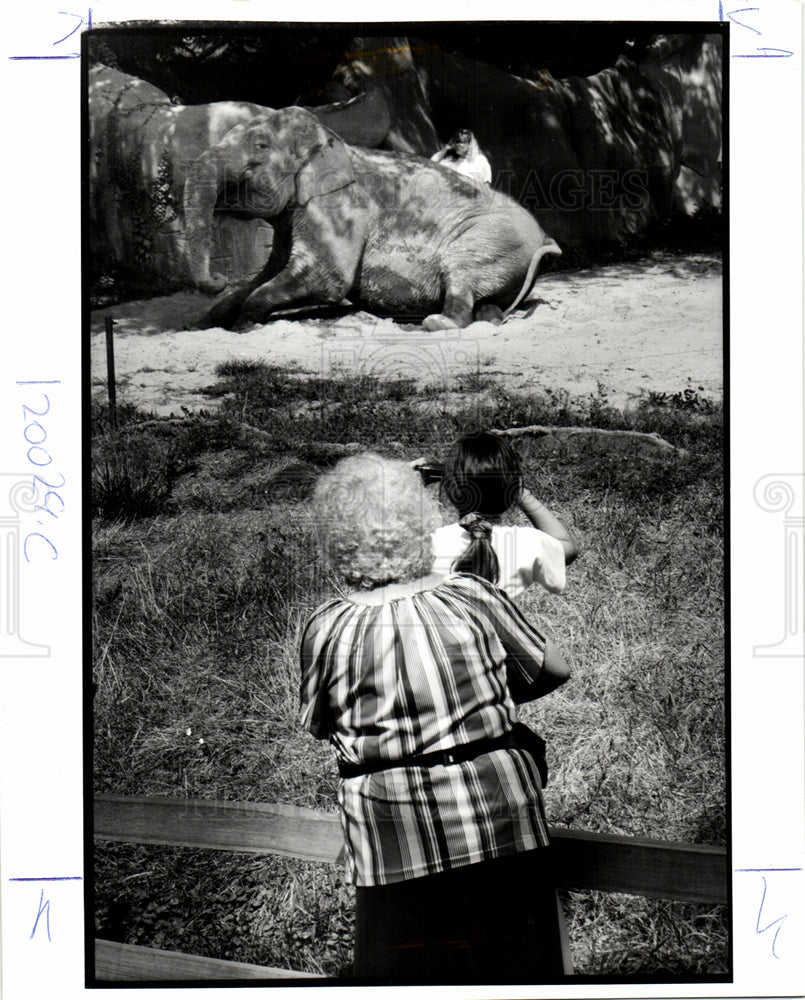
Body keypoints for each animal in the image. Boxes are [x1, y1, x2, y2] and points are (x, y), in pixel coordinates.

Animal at [181, 107, 560, 330]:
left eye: (260, 146)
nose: (217, 278)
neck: (333, 142)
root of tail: (545, 240)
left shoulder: (340, 206)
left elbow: (327, 277)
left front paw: (245, 324)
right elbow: (271, 270)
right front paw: (205, 322)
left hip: (492, 238)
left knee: (462, 272)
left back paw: (439, 323)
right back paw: (488, 318)